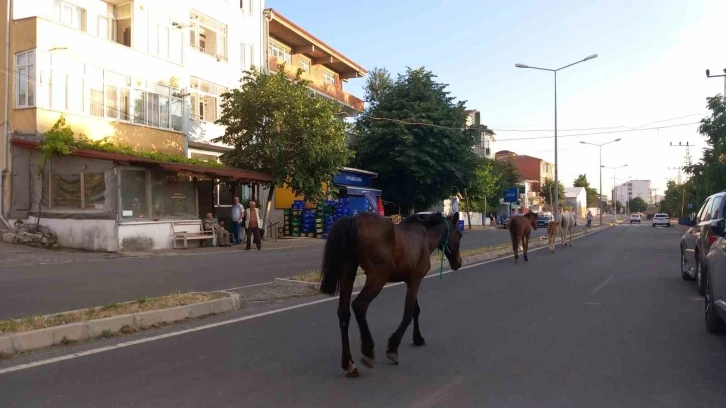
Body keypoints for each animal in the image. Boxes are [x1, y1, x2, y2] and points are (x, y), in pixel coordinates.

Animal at [320, 212, 466, 378]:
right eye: (459, 234)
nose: (458, 263)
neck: (424, 235)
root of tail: (354, 220)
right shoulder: (416, 280)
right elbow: (408, 314)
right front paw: (393, 347)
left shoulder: (409, 281)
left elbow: (415, 310)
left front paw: (417, 338)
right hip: (378, 277)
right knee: (359, 305)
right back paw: (368, 351)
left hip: (348, 273)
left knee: (344, 313)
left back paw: (349, 364)